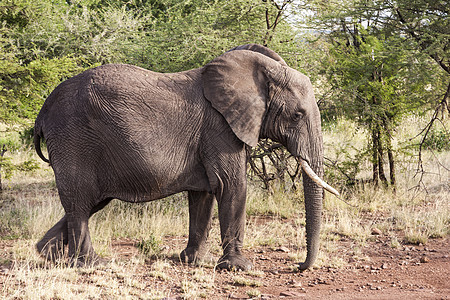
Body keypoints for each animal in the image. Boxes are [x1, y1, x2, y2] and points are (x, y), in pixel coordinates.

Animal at [34, 43, 338, 270]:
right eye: (297, 115)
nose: (298, 266)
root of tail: (42, 112)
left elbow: (203, 194)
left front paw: (194, 260)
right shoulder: (219, 127)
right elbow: (231, 185)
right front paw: (238, 267)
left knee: (89, 202)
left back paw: (47, 253)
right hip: (73, 139)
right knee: (80, 201)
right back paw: (91, 264)